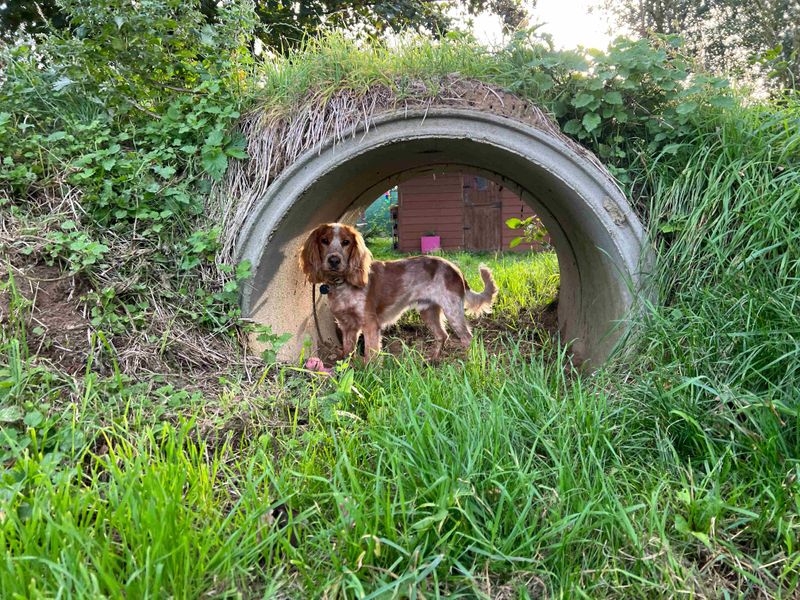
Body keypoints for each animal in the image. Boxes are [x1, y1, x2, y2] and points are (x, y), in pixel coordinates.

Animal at [300, 224, 496, 360]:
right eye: (324, 241)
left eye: (346, 242)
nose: (334, 260)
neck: (343, 285)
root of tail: (456, 269)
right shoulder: (347, 326)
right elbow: (348, 354)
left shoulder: (370, 325)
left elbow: (371, 357)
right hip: (429, 312)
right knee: (442, 335)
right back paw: (432, 361)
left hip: (453, 311)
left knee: (467, 338)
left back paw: (468, 364)